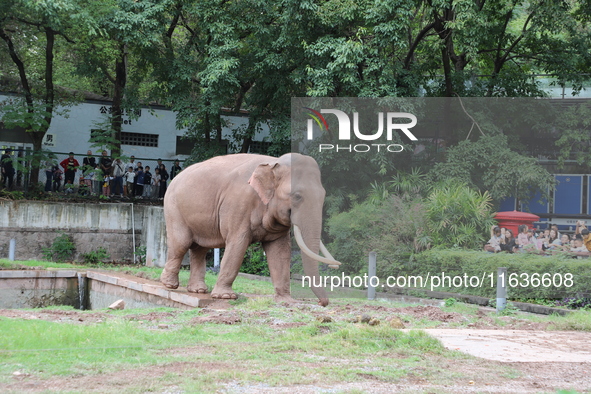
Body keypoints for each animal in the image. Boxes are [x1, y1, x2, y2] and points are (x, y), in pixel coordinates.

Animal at [160, 152, 340, 306]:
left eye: (323, 196)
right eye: (297, 196)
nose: (322, 303)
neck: (273, 163)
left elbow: (280, 252)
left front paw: (286, 301)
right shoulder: (238, 205)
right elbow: (237, 245)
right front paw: (226, 296)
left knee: (200, 249)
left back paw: (198, 290)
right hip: (173, 209)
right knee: (181, 244)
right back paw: (169, 285)